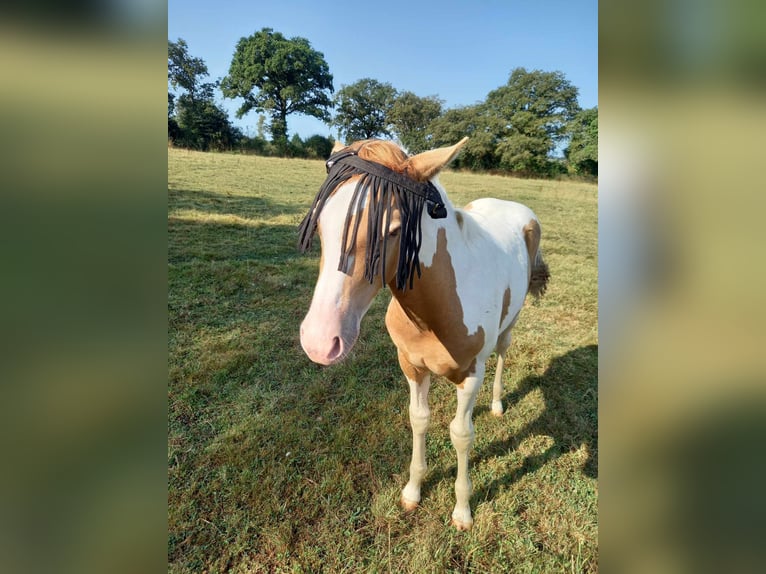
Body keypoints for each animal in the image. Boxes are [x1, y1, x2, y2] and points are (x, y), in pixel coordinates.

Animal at [296, 138, 548, 532]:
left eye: (394, 230)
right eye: (320, 224)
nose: (319, 343)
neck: (435, 310)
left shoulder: (470, 375)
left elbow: (461, 434)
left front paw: (462, 511)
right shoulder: (411, 367)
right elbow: (419, 419)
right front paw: (413, 491)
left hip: (510, 325)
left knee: (503, 353)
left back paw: (496, 404)